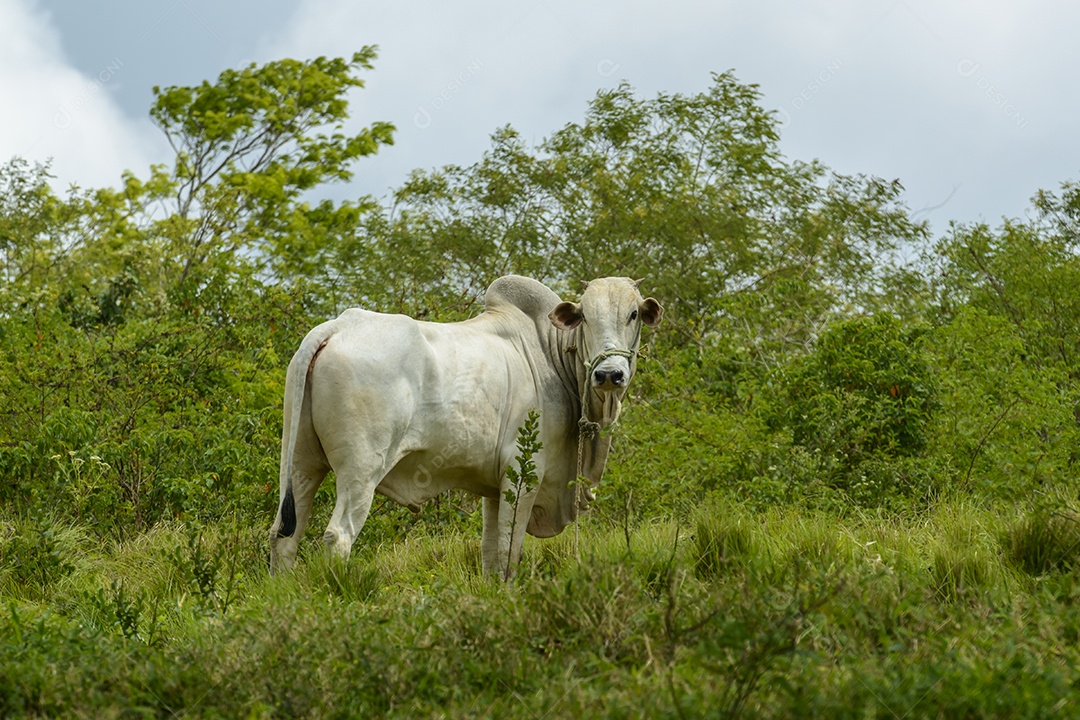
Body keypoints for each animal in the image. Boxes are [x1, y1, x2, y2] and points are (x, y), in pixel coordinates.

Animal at [265, 276, 660, 578]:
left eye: (633, 314)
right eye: (586, 318)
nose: (609, 374)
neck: (552, 356)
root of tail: (339, 325)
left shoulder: (494, 486)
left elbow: (489, 552)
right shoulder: (523, 475)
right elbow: (508, 551)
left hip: (301, 464)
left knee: (284, 536)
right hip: (360, 470)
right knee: (338, 536)